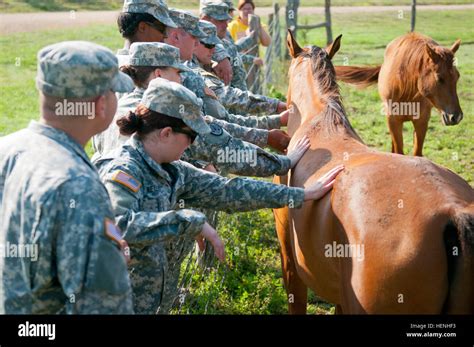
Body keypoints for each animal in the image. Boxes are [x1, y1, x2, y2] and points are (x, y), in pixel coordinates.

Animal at [334, 32, 462, 158]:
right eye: (440, 78)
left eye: (457, 77)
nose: (456, 117)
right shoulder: (393, 120)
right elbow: (399, 152)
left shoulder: (421, 121)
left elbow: (417, 154)